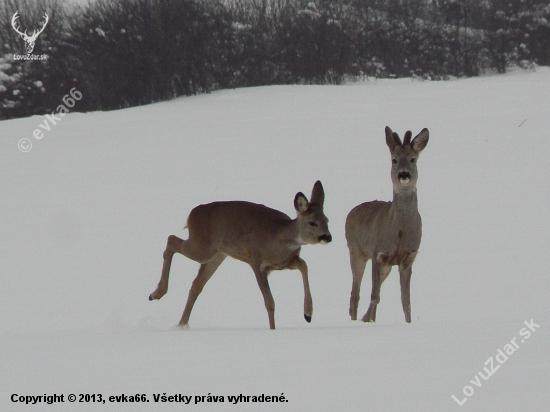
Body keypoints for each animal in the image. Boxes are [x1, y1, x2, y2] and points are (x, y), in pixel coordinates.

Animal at [149, 180, 334, 328]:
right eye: (312, 222)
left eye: (327, 220)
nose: (328, 237)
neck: (278, 239)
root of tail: (191, 214)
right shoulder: (256, 262)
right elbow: (270, 302)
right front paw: (273, 329)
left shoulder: (287, 262)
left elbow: (305, 266)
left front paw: (308, 314)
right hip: (202, 247)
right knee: (171, 240)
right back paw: (156, 294)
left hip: (218, 254)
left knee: (196, 284)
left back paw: (181, 324)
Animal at [348, 127, 430, 324]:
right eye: (394, 159)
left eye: (413, 159)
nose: (403, 174)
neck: (399, 231)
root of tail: (350, 213)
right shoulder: (378, 254)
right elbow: (374, 296)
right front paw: (366, 320)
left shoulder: (408, 258)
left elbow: (406, 301)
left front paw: (408, 323)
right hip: (356, 252)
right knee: (355, 294)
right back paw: (356, 319)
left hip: (386, 266)